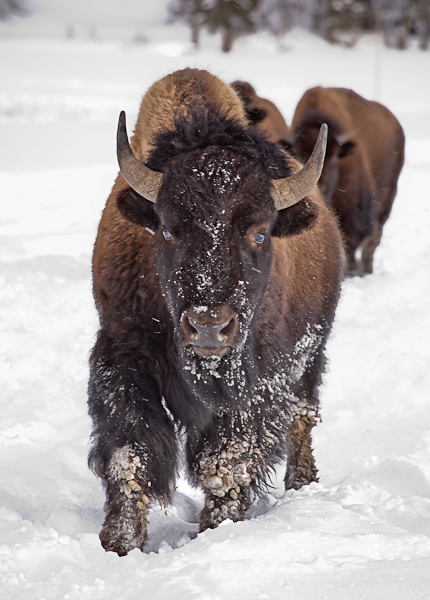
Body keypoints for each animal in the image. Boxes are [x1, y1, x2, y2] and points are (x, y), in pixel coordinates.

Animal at [89, 68, 344, 556]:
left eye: (260, 233)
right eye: (168, 230)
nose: (209, 326)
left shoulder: (255, 382)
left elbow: (225, 461)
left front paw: (217, 526)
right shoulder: (123, 356)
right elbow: (130, 450)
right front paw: (120, 542)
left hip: (312, 353)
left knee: (302, 416)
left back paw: (302, 481)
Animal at [288, 85, 404, 276]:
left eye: (335, 157)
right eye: (296, 154)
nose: (320, 187)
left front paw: (351, 270)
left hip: (388, 196)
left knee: (374, 237)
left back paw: (366, 269)